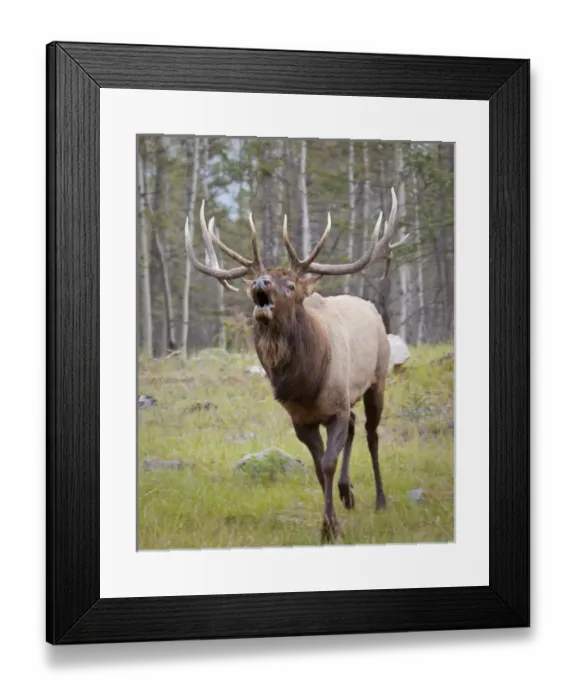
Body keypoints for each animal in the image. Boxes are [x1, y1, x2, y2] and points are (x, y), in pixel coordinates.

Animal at [184, 189, 409, 543]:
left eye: (290, 285)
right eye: (254, 282)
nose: (260, 283)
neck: (306, 384)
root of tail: (373, 310)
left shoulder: (335, 408)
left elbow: (328, 463)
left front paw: (329, 529)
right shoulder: (301, 420)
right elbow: (318, 468)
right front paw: (332, 522)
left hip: (378, 379)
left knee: (371, 433)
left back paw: (380, 500)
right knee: (355, 425)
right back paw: (347, 492)